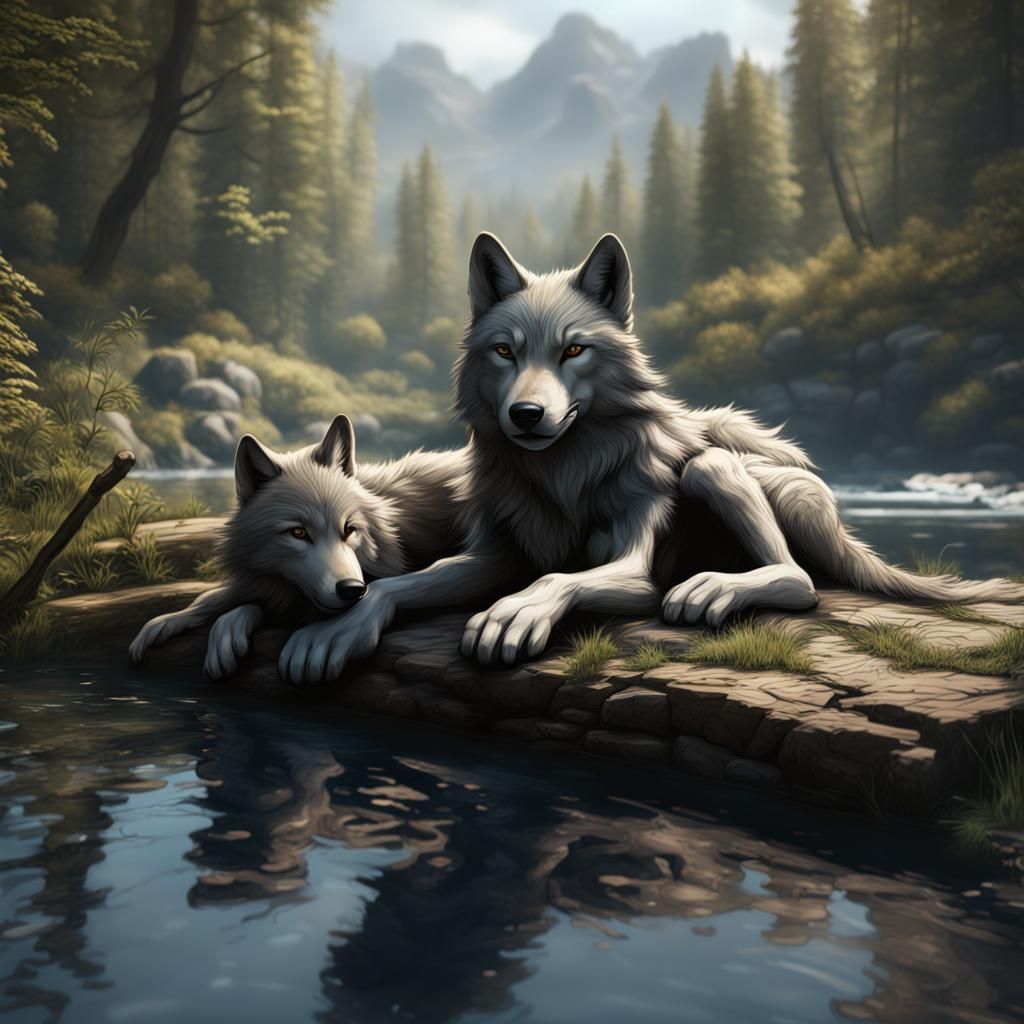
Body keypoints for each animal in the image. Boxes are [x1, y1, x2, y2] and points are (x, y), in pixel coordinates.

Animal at [278, 231, 1024, 684]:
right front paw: (338, 629)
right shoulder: (494, 555)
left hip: (717, 471)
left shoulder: (633, 569)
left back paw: (711, 588)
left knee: (799, 578)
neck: (565, 472)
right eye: (505, 351)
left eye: (574, 350)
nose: (527, 415)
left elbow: (558, 579)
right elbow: (398, 585)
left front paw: (511, 616)